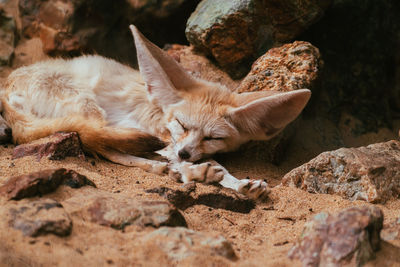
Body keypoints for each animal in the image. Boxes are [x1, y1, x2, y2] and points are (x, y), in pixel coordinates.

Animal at [0, 25, 310, 201]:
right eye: (181, 124)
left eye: (213, 138)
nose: (186, 152)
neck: (160, 113)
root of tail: (6, 85)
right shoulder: (145, 128)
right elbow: (203, 162)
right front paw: (200, 173)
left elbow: (211, 163)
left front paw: (239, 184)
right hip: (90, 106)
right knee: (103, 145)